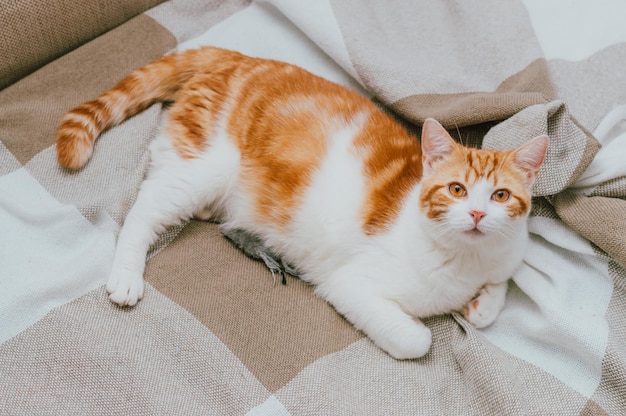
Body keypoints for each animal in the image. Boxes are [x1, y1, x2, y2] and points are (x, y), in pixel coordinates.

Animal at [57, 44, 544, 358]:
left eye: (500, 195)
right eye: (456, 189)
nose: (477, 213)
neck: (465, 261)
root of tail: (237, 57)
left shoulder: (507, 257)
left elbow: (500, 289)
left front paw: (479, 305)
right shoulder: (349, 284)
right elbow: (416, 340)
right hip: (201, 168)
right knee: (142, 211)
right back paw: (127, 275)